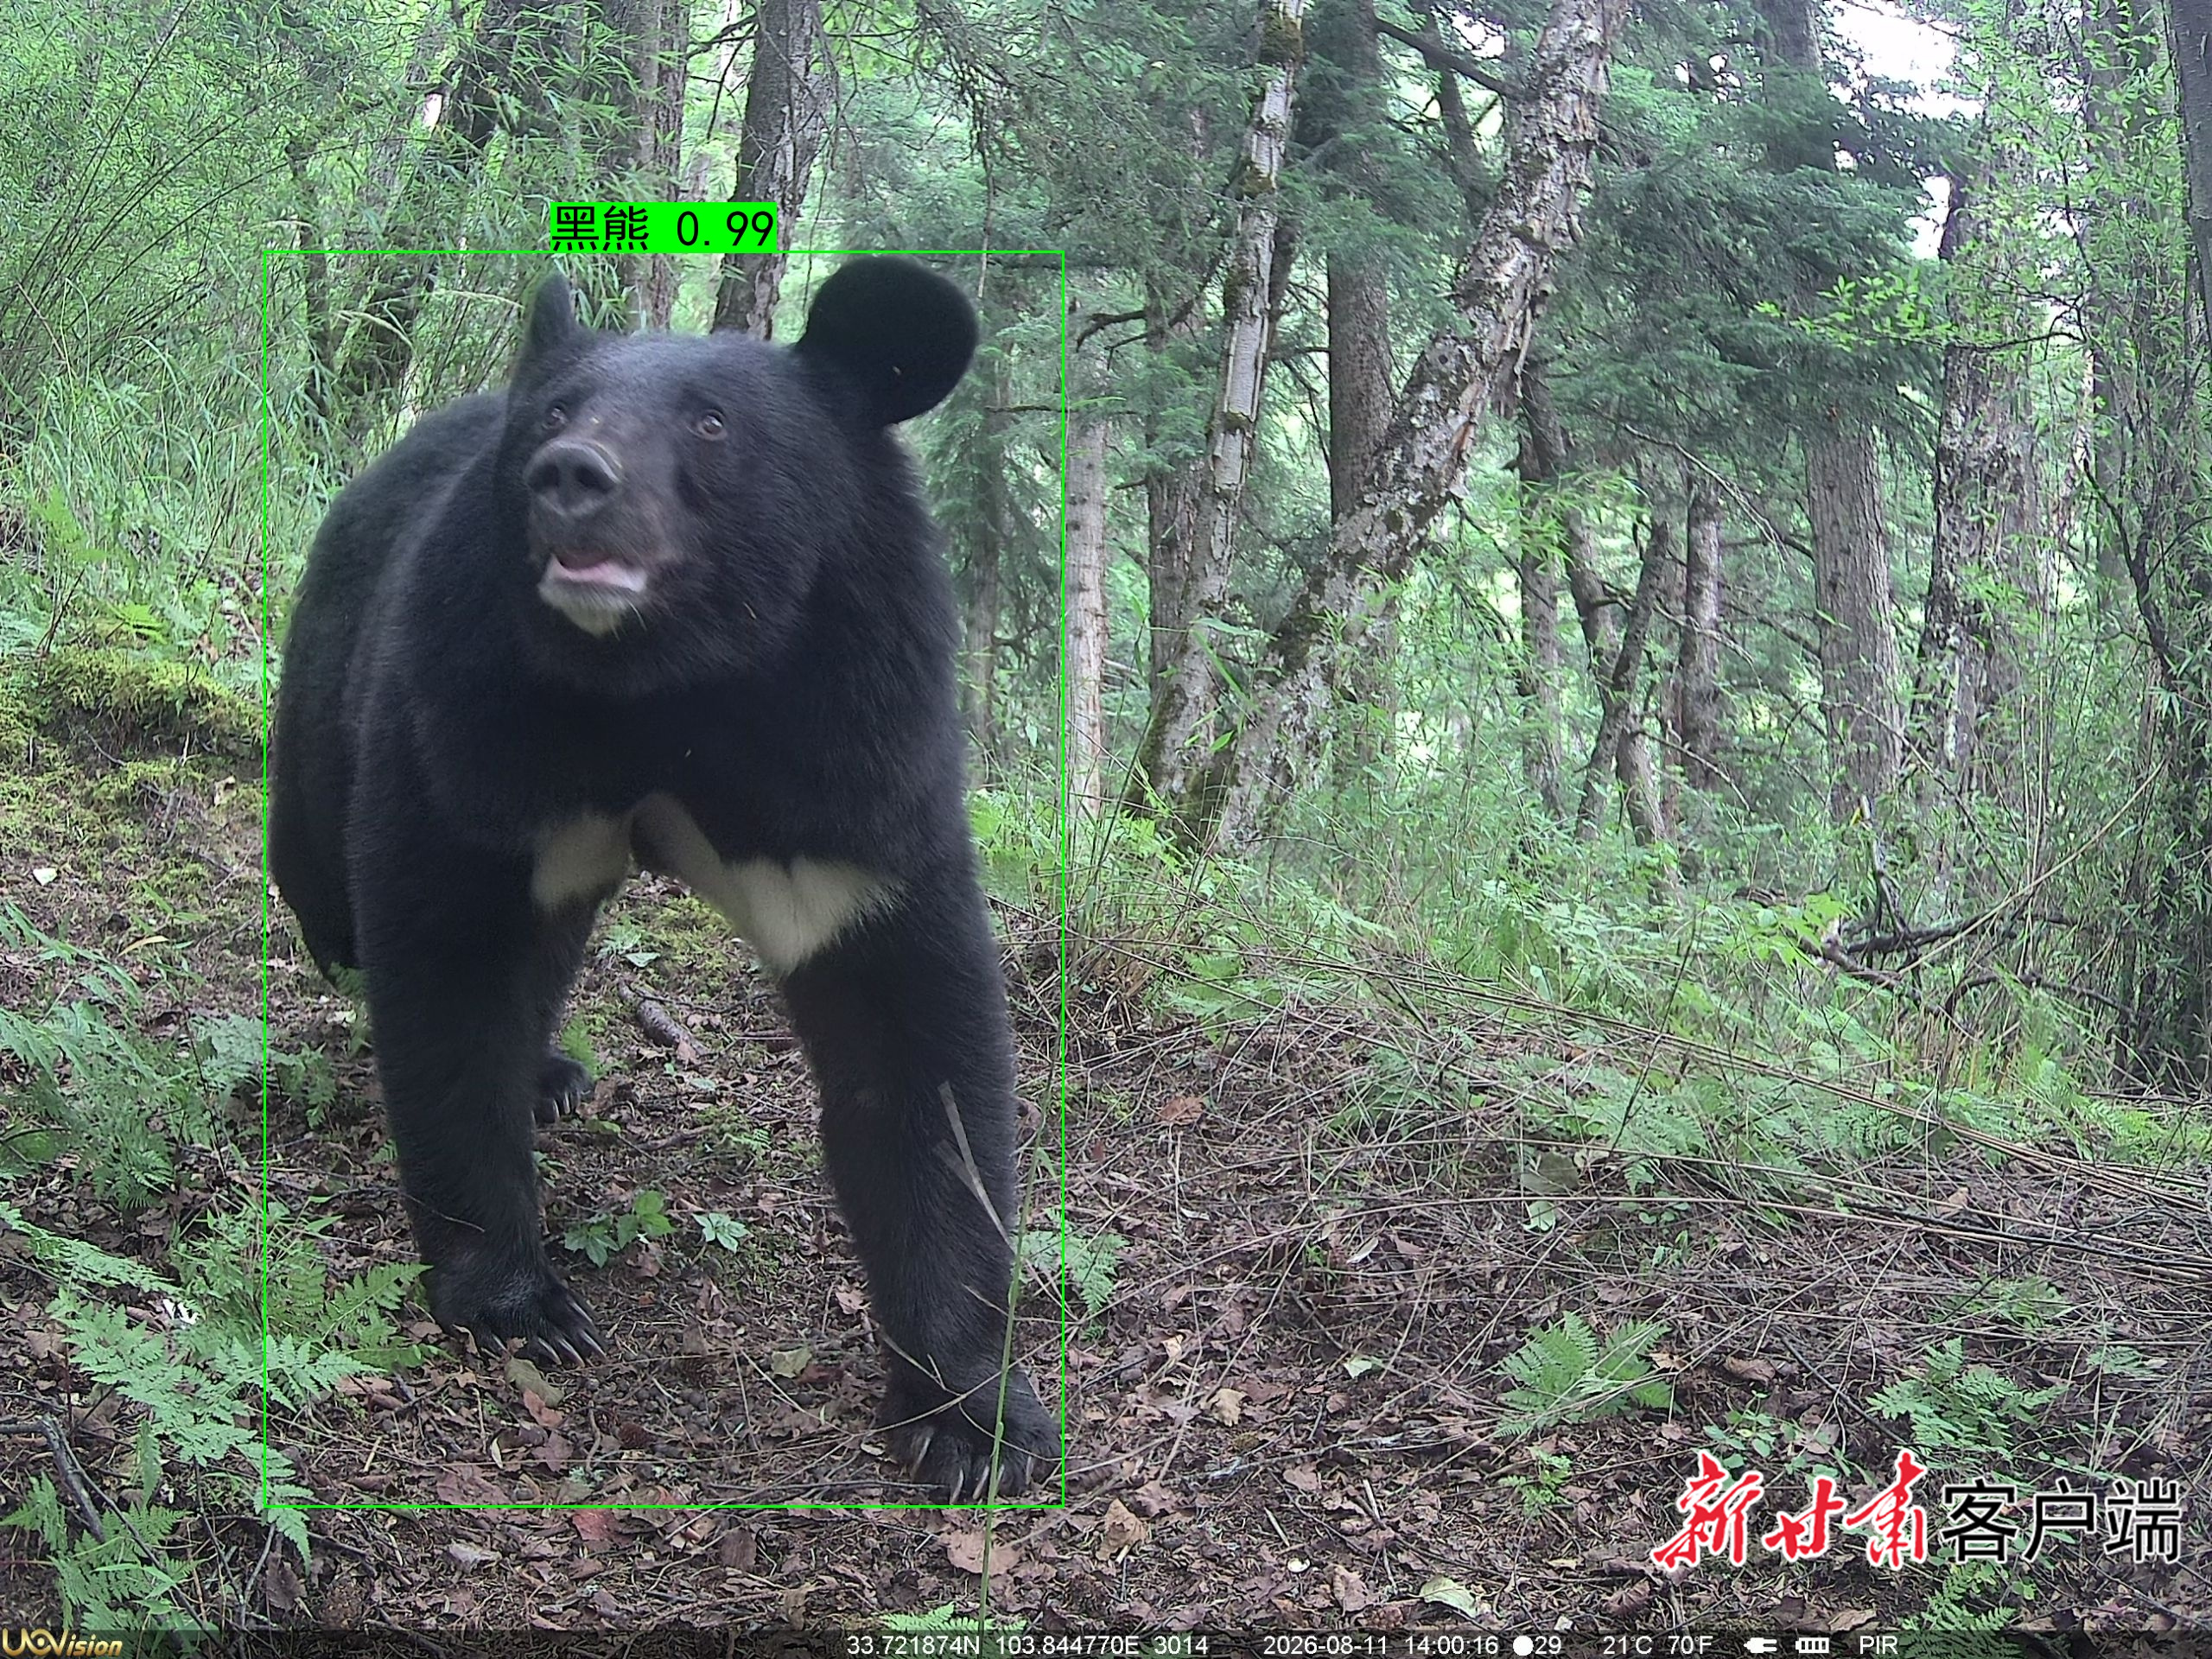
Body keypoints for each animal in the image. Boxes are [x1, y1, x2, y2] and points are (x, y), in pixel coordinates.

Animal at [268, 256, 1058, 1501]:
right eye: (555, 414)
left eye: (711, 423)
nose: (567, 477)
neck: (666, 679)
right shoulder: (470, 715)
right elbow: (451, 965)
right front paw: (523, 1306)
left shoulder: (856, 762)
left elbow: (917, 1046)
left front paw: (973, 1423)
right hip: (329, 682)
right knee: (329, 877)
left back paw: (552, 1074)